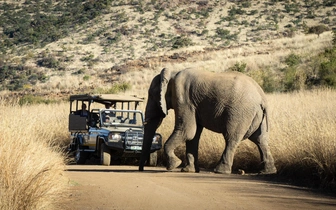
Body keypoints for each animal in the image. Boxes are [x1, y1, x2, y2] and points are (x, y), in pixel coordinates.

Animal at [138, 67, 276, 174]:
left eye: (152, 95)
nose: (141, 169)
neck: (173, 72)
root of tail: (262, 98)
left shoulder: (183, 98)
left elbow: (187, 131)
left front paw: (174, 165)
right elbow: (193, 135)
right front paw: (188, 170)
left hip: (240, 113)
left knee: (231, 138)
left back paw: (220, 171)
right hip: (256, 116)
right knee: (260, 140)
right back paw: (267, 171)